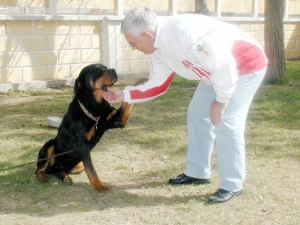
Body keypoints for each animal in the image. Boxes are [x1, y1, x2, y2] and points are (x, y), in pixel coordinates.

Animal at [36, 63, 144, 193]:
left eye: (105, 67)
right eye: (96, 70)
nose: (113, 70)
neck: (96, 107)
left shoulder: (119, 120)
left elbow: (126, 104)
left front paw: (140, 82)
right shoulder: (83, 147)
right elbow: (92, 171)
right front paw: (100, 186)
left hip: (79, 166)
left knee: (57, 170)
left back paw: (65, 177)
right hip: (49, 145)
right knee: (40, 169)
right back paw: (43, 176)